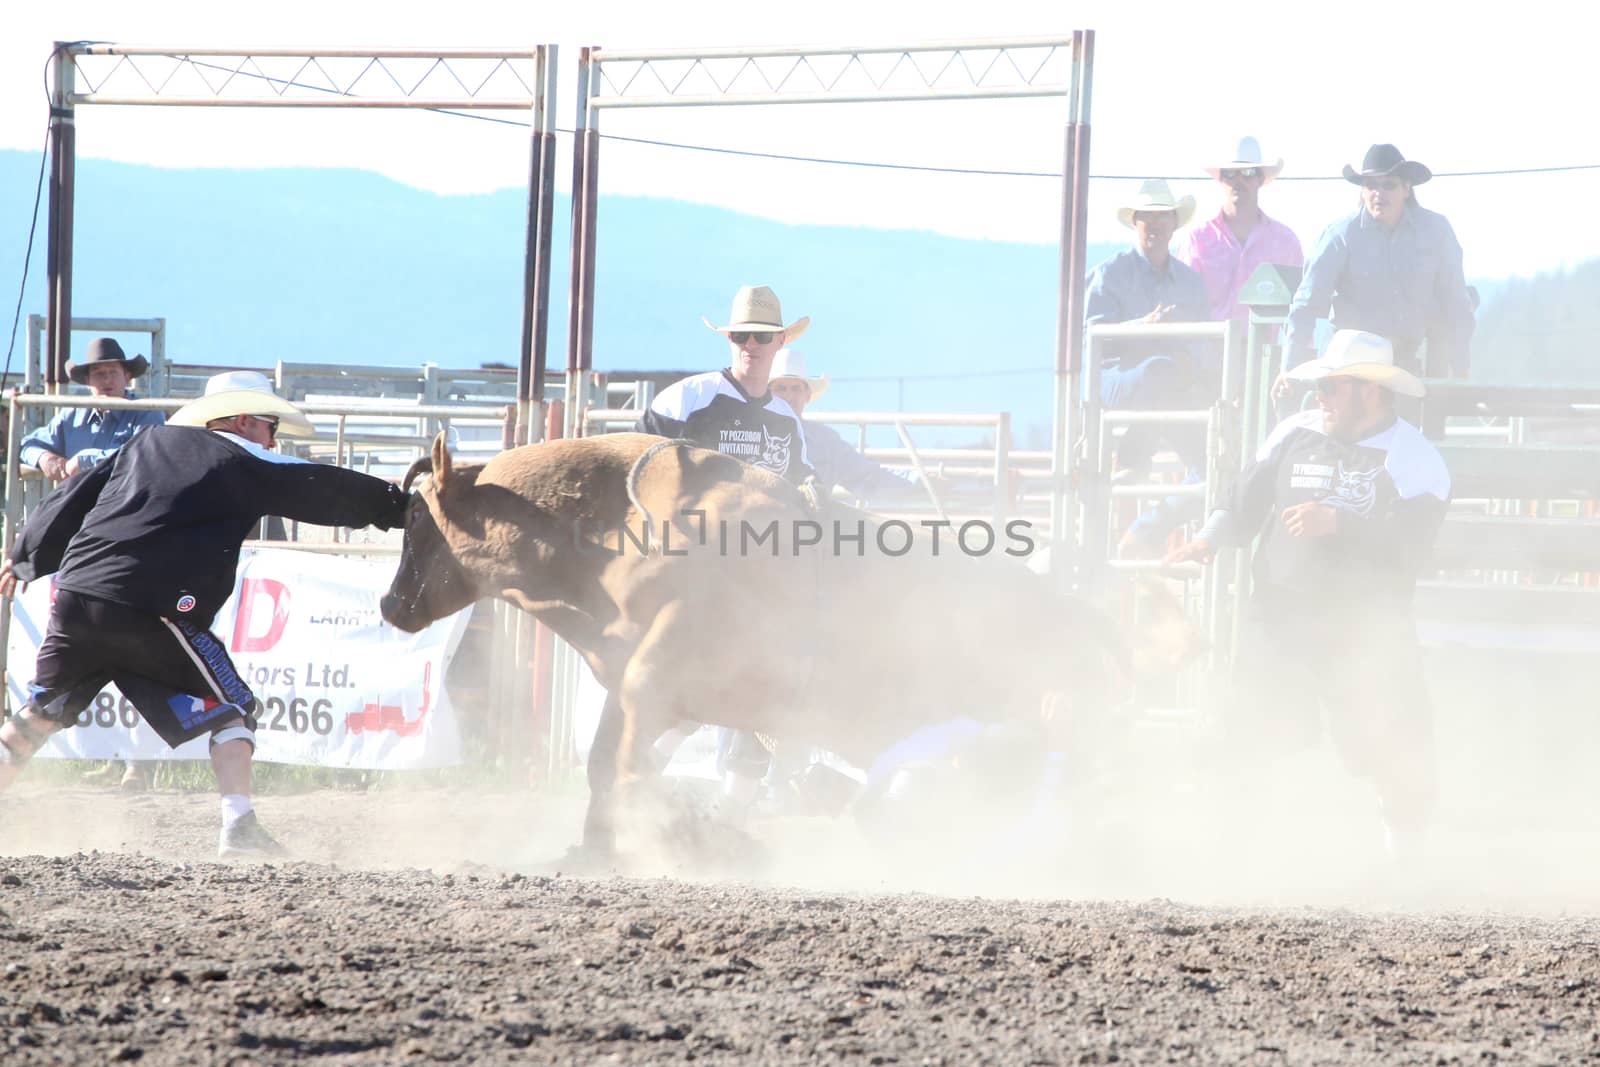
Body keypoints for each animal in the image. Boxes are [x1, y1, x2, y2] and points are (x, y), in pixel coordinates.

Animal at [379, 435, 1139, 857]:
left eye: (415, 516)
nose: (389, 603)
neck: (616, 527)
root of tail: (1096, 623)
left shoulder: (673, 652)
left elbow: (624, 759)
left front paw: (675, 836)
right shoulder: (639, 680)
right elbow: (605, 762)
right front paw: (599, 844)